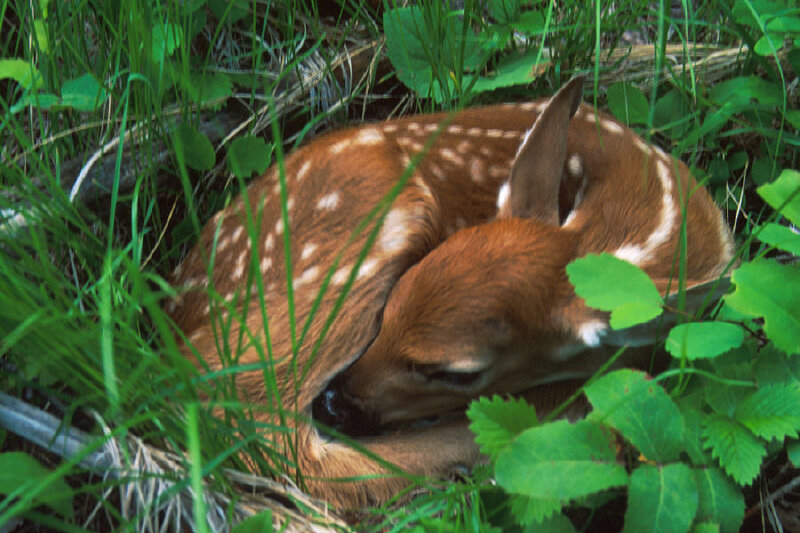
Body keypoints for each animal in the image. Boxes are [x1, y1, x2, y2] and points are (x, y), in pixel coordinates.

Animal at [166, 76, 735, 510]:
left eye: (457, 372)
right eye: (388, 308)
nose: (336, 405)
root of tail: (176, 311)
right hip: (366, 229)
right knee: (260, 424)